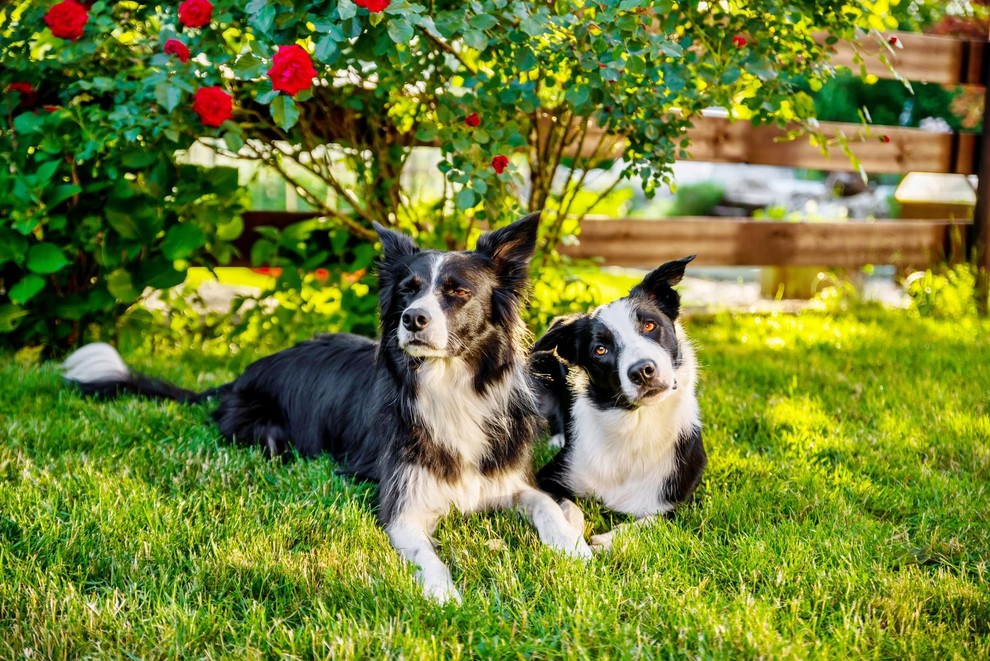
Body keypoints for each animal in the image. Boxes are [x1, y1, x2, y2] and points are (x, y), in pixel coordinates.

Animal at [66, 214, 592, 600]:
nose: (411, 319)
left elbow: (545, 504)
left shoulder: (508, 480)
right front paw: (445, 597)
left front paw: (577, 549)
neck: (449, 387)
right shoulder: (403, 509)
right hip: (267, 433)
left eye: (459, 292)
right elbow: (429, 557)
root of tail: (242, 375)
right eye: (407, 289)